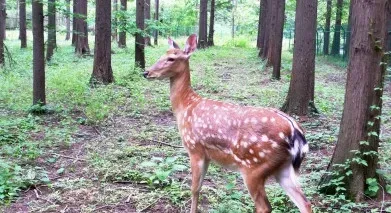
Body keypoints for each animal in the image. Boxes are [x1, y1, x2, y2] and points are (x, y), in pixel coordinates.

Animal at [144, 35, 312, 213]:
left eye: (171, 58)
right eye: (162, 55)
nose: (146, 72)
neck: (187, 106)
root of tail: (296, 132)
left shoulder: (194, 148)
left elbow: (194, 188)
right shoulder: (207, 155)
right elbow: (200, 187)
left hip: (254, 167)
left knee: (265, 206)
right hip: (283, 168)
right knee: (305, 203)